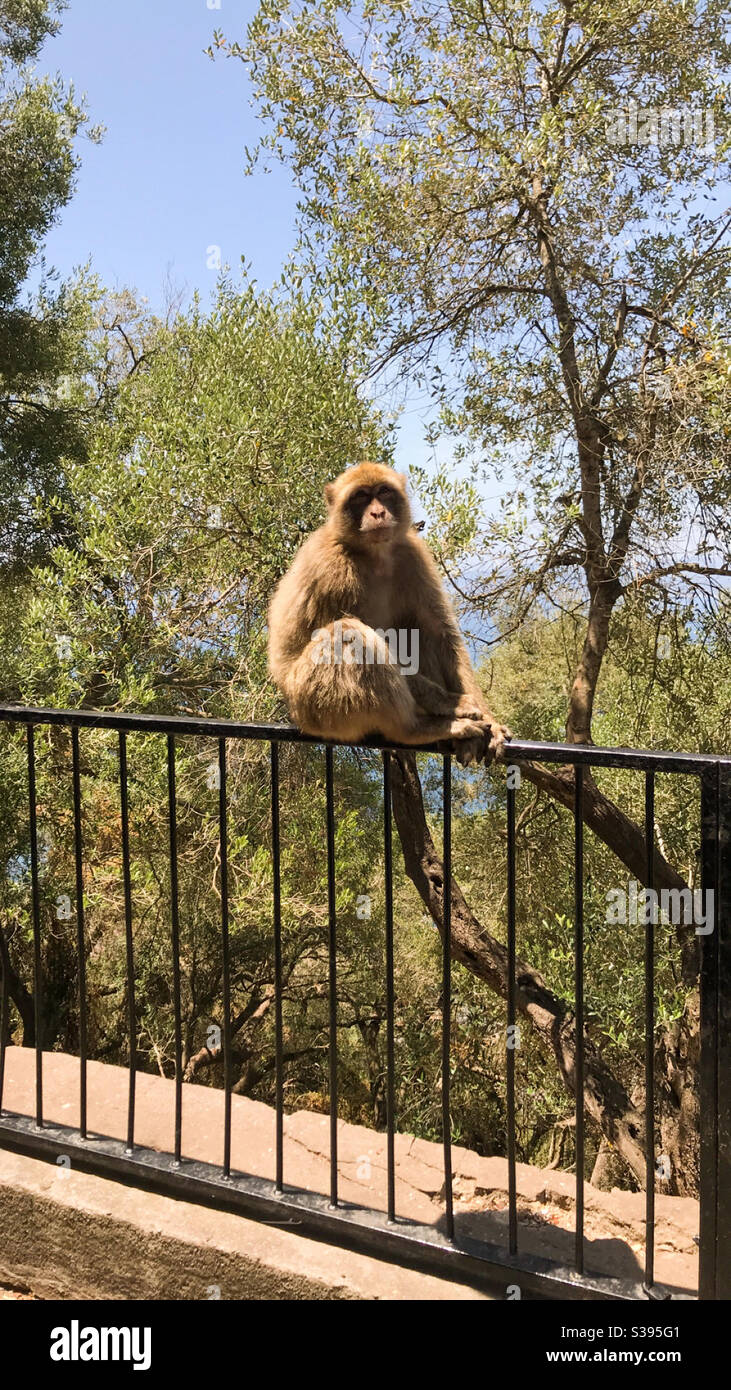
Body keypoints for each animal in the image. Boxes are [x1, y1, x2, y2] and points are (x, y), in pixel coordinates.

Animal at [266, 461, 514, 767]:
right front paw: (451, 702)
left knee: (416, 630)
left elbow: (440, 633)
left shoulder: (412, 553)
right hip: (312, 702)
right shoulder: (332, 570)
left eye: (384, 492)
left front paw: (488, 719)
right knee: (347, 634)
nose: (377, 513)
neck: (374, 554)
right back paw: (415, 728)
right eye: (361, 497)